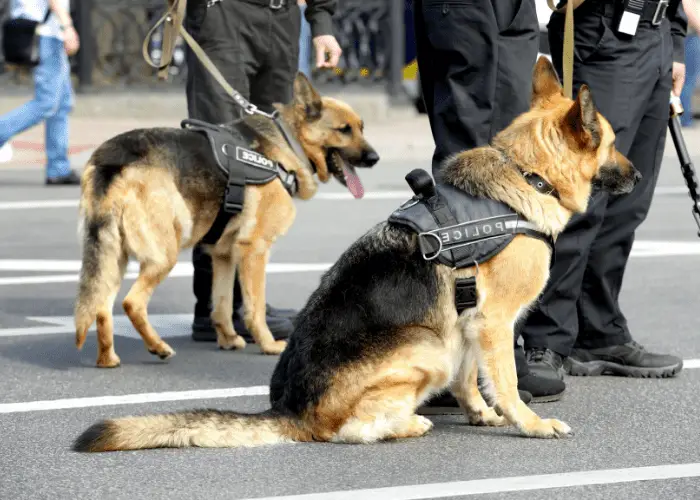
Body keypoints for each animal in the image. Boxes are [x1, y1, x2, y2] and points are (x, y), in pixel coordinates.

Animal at [74, 74, 380, 370]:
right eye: (344, 130)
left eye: (361, 127)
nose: (375, 158)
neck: (287, 143)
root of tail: (113, 159)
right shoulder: (254, 249)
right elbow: (254, 307)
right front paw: (268, 345)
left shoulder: (223, 255)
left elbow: (221, 305)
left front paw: (229, 339)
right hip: (164, 253)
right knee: (131, 303)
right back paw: (158, 347)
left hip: (114, 258)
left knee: (101, 307)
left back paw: (107, 359)